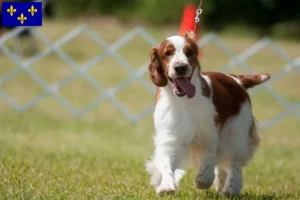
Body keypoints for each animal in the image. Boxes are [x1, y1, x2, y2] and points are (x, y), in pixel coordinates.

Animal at [145, 31, 270, 197]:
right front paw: (166, 186)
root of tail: (237, 80)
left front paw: (202, 180)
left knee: (234, 161)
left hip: (236, 130)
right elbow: (166, 163)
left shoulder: (208, 133)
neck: (185, 100)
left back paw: (231, 189)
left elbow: (208, 163)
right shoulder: (171, 136)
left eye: (190, 52)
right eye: (167, 53)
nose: (180, 67)